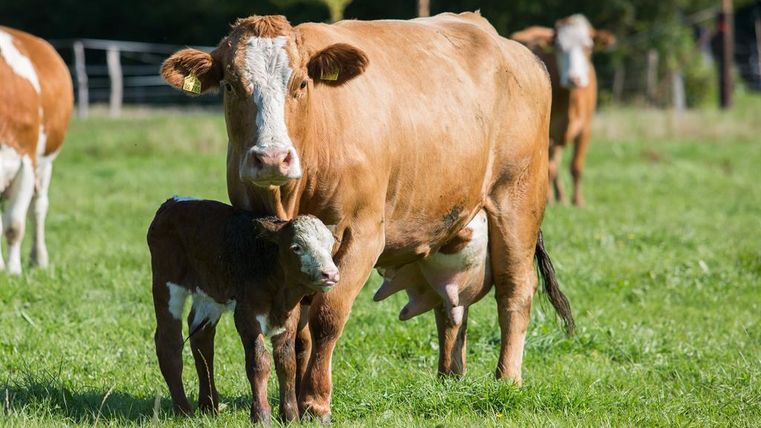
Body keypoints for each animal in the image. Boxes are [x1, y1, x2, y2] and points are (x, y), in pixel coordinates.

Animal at [0, 27, 72, 274]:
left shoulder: (26, 162)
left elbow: (14, 224)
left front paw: (13, 271)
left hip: (45, 164)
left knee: (38, 208)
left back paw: (38, 259)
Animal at [147, 197, 339, 422]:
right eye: (296, 247)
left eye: (330, 245)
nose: (330, 274)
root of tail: (173, 202)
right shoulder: (247, 315)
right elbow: (259, 361)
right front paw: (261, 415)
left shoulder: (289, 317)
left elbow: (286, 363)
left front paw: (290, 416)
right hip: (166, 283)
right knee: (168, 342)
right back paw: (183, 410)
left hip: (209, 294)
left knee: (202, 339)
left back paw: (209, 406)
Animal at [511, 14, 615, 206]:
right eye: (559, 48)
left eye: (588, 47)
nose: (574, 79)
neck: (571, 101)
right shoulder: (549, 131)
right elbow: (550, 168)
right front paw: (550, 199)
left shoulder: (586, 128)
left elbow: (576, 165)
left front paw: (578, 201)